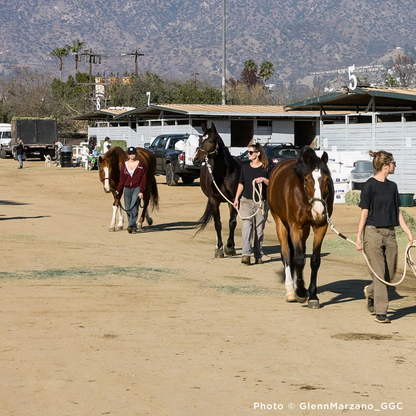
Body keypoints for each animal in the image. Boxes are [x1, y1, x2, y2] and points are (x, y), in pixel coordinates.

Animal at [193, 122, 242, 256]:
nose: (195, 159)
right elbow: (217, 223)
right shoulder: (213, 201)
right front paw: (220, 248)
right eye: (199, 140)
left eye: (210, 140)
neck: (225, 174)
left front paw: (230, 246)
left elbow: (232, 222)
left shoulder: (234, 200)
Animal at [266, 146, 334, 308]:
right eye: (307, 179)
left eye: (327, 179)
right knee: (286, 254)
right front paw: (301, 292)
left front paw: (313, 296)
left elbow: (314, 260)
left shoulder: (320, 227)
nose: (319, 211)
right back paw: (291, 291)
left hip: (305, 230)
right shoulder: (295, 227)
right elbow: (298, 259)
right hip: (281, 223)